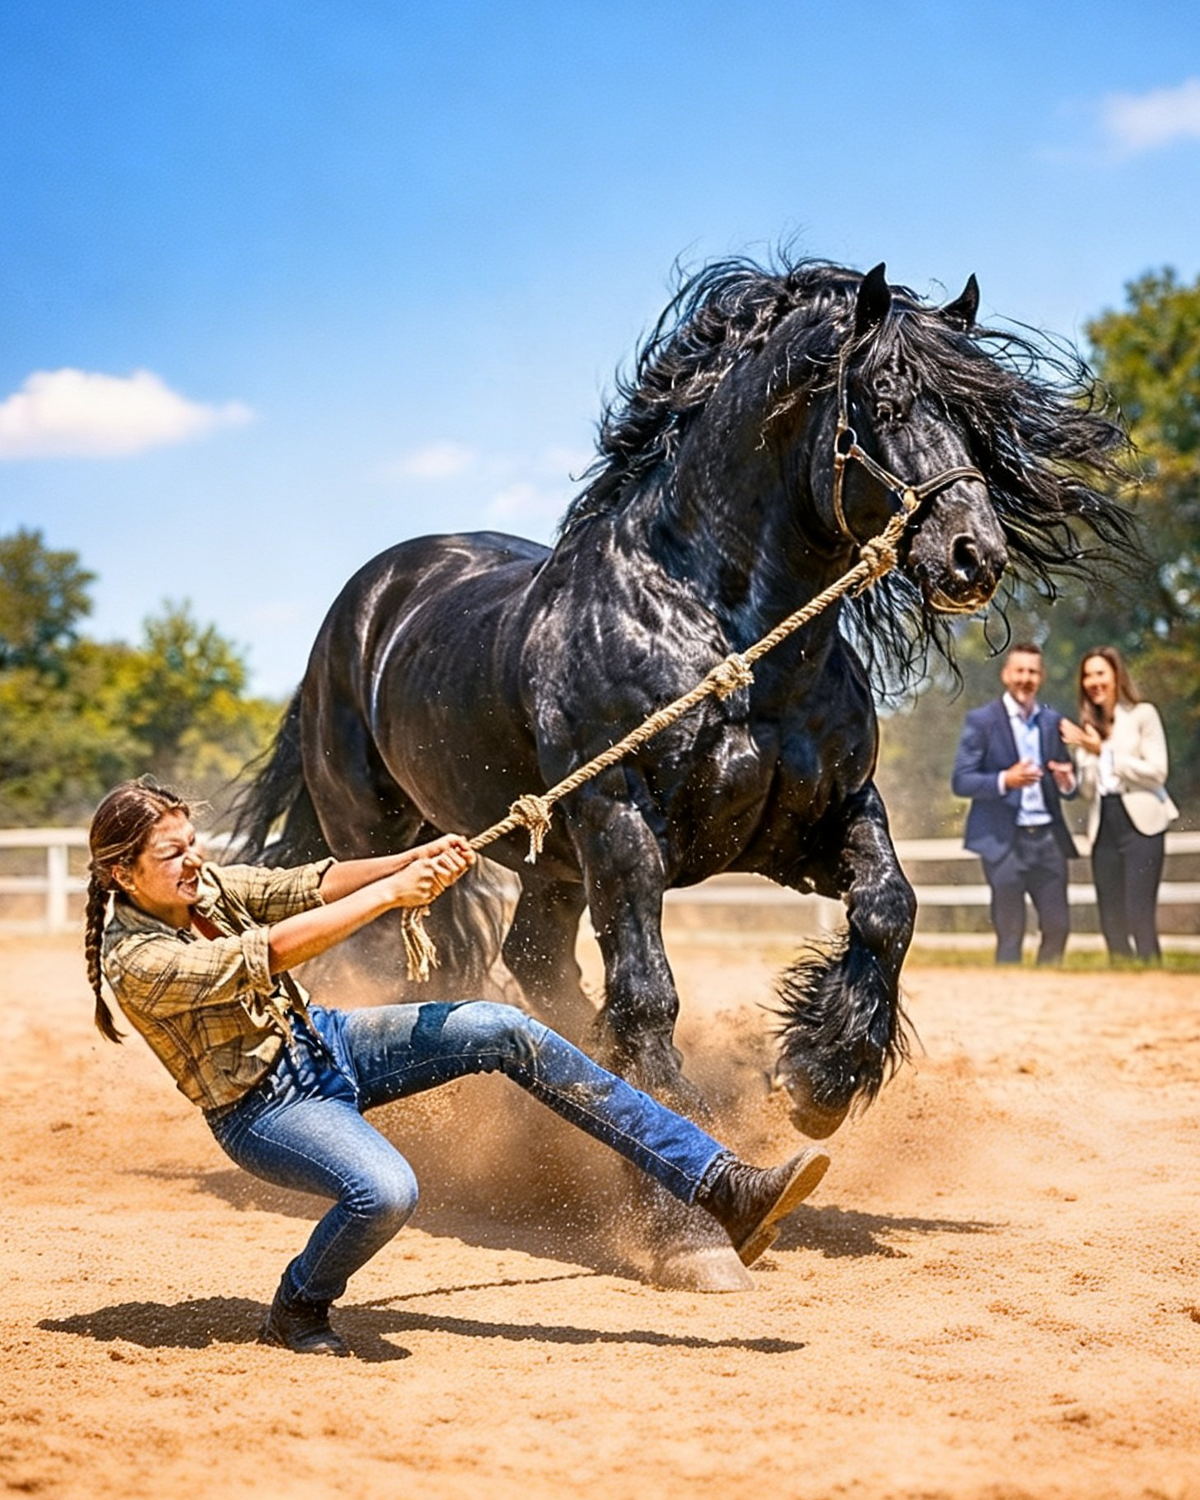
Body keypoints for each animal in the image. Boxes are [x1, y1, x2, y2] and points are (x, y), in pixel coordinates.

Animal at [234, 257, 1134, 1289]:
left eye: (980, 416)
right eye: (886, 400)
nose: (973, 556)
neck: (721, 632)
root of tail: (363, 603)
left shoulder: (821, 822)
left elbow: (888, 910)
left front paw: (818, 1078)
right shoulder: (622, 829)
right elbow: (649, 995)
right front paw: (684, 1229)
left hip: (554, 865)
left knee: (535, 964)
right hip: (388, 844)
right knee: (409, 970)